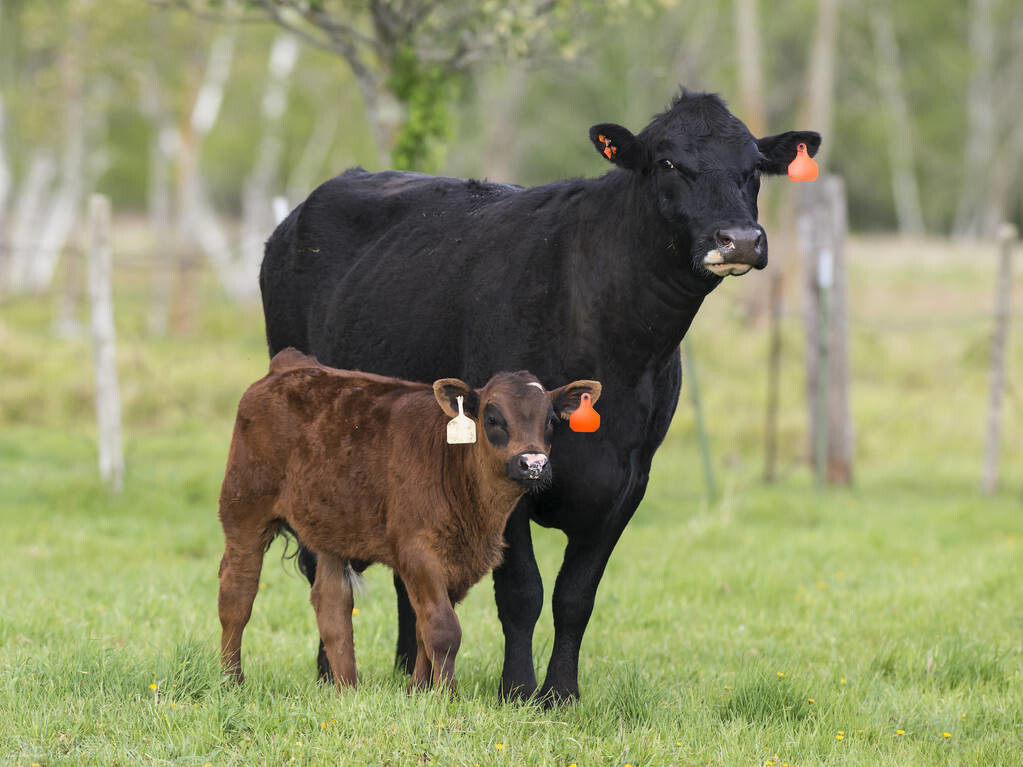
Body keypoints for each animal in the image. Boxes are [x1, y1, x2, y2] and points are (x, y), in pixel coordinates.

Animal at [216, 347, 597, 691]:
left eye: (550, 422)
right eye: (492, 418)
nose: (533, 464)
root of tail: (290, 365)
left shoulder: (455, 561)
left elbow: (424, 626)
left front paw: (419, 689)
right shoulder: (417, 551)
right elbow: (443, 629)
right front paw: (446, 694)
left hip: (330, 527)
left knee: (332, 605)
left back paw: (347, 689)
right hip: (244, 511)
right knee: (237, 595)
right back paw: (232, 680)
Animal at [259, 89, 818, 707]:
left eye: (754, 168)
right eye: (668, 162)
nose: (739, 239)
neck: (614, 340)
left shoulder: (629, 482)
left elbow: (576, 596)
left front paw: (561, 694)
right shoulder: (506, 474)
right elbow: (522, 591)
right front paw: (518, 689)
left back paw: (410, 674)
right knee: (323, 563)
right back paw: (331, 673)